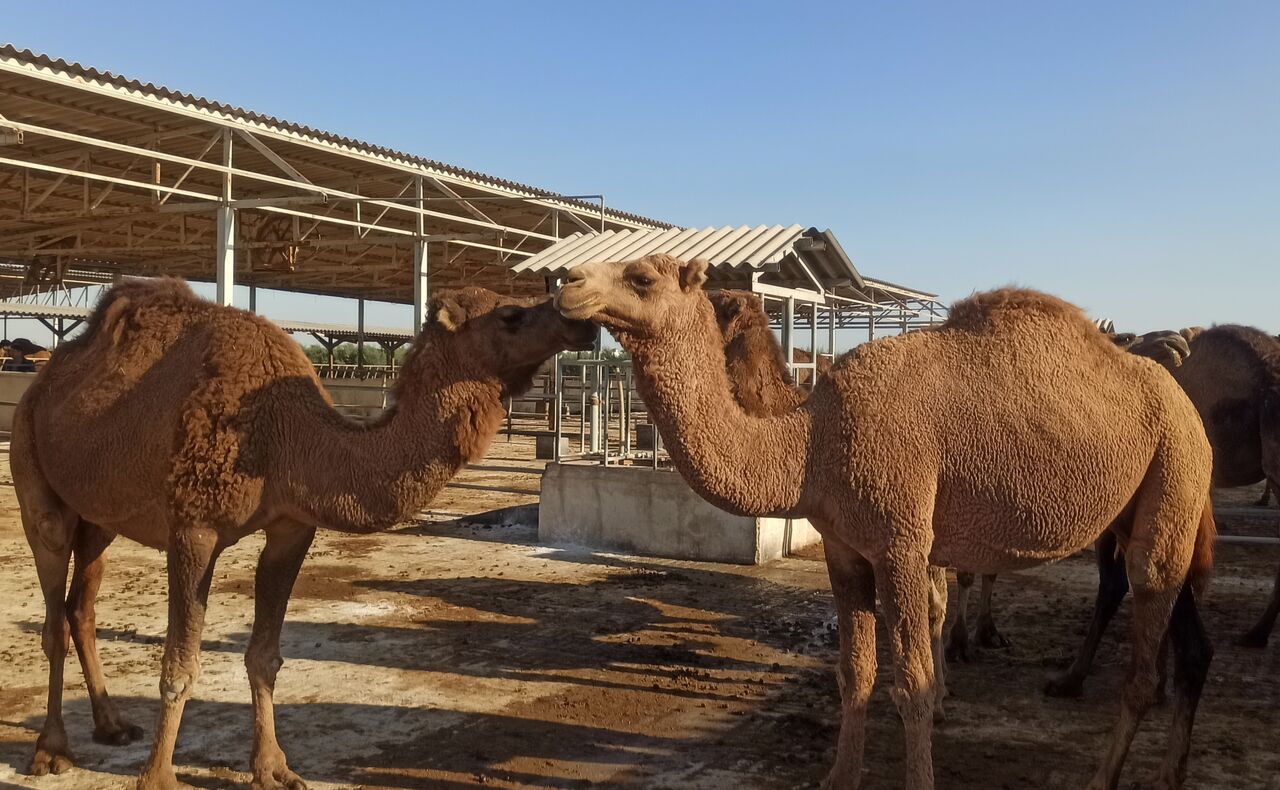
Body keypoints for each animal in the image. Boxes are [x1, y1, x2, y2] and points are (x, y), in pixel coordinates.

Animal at [15, 274, 596, 783]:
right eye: (510, 315)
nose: (581, 320)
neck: (284, 436)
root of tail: (44, 379)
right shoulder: (193, 529)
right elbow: (179, 667)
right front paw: (157, 779)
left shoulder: (293, 530)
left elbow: (265, 657)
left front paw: (273, 769)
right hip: (36, 483)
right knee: (53, 612)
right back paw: (50, 751)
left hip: (99, 517)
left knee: (81, 608)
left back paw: (112, 726)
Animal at [558, 256, 1208, 783]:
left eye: (642, 277)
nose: (566, 282)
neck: (811, 443)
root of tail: (1182, 397)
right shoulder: (844, 550)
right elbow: (855, 672)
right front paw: (839, 778)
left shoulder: (902, 540)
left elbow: (911, 683)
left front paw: (926, 745)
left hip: (1175, 465)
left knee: (1144, 631)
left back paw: (1103, 771)